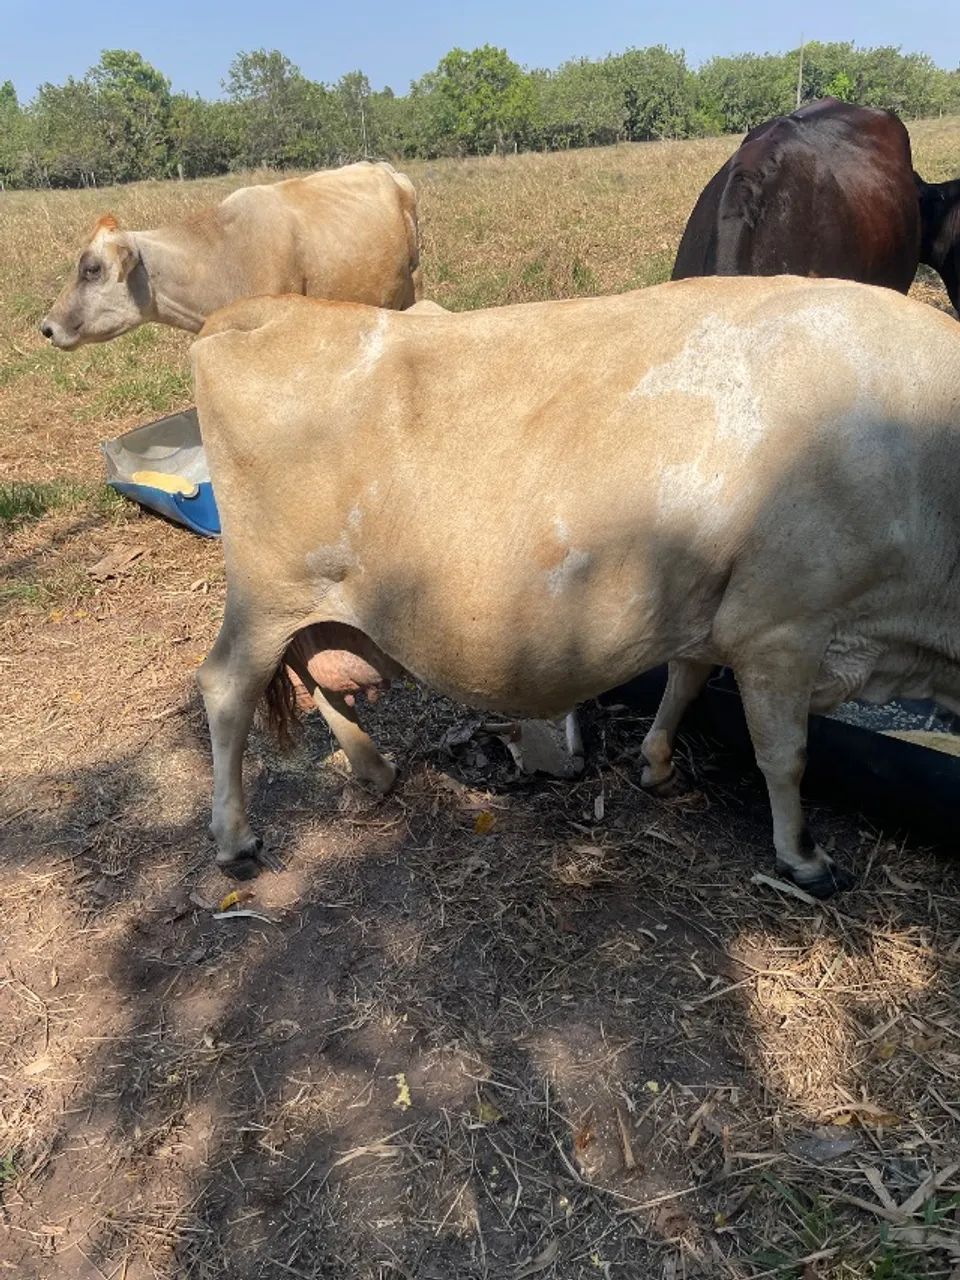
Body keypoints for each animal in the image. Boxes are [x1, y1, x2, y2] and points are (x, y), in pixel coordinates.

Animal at [190, 275, 960, 898]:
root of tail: (262, 311)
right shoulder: (780, 626)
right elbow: (784, 754)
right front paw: (802, 859)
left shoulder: (711, 604)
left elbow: (685, 678)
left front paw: (656, 763)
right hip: (268, 589)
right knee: (228, 686)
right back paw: (235, 841)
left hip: (322, 598)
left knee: (315, 674)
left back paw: (374, 772)